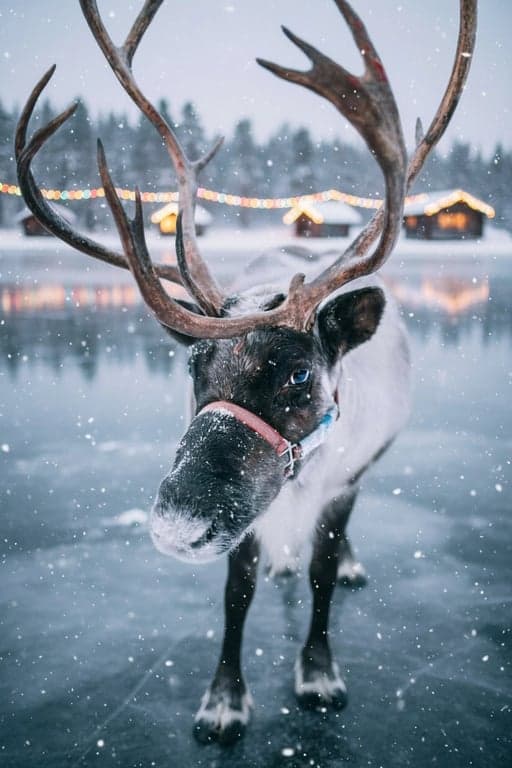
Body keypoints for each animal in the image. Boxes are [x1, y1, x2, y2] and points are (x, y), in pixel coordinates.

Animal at [16, 0, 476, 745]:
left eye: (297, 375)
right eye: (193, 363)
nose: (177, 526)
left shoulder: (338, 487)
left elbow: (321, 576)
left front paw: (318, 673)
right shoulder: (245, 520)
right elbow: (237, 593)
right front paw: (224, 700)